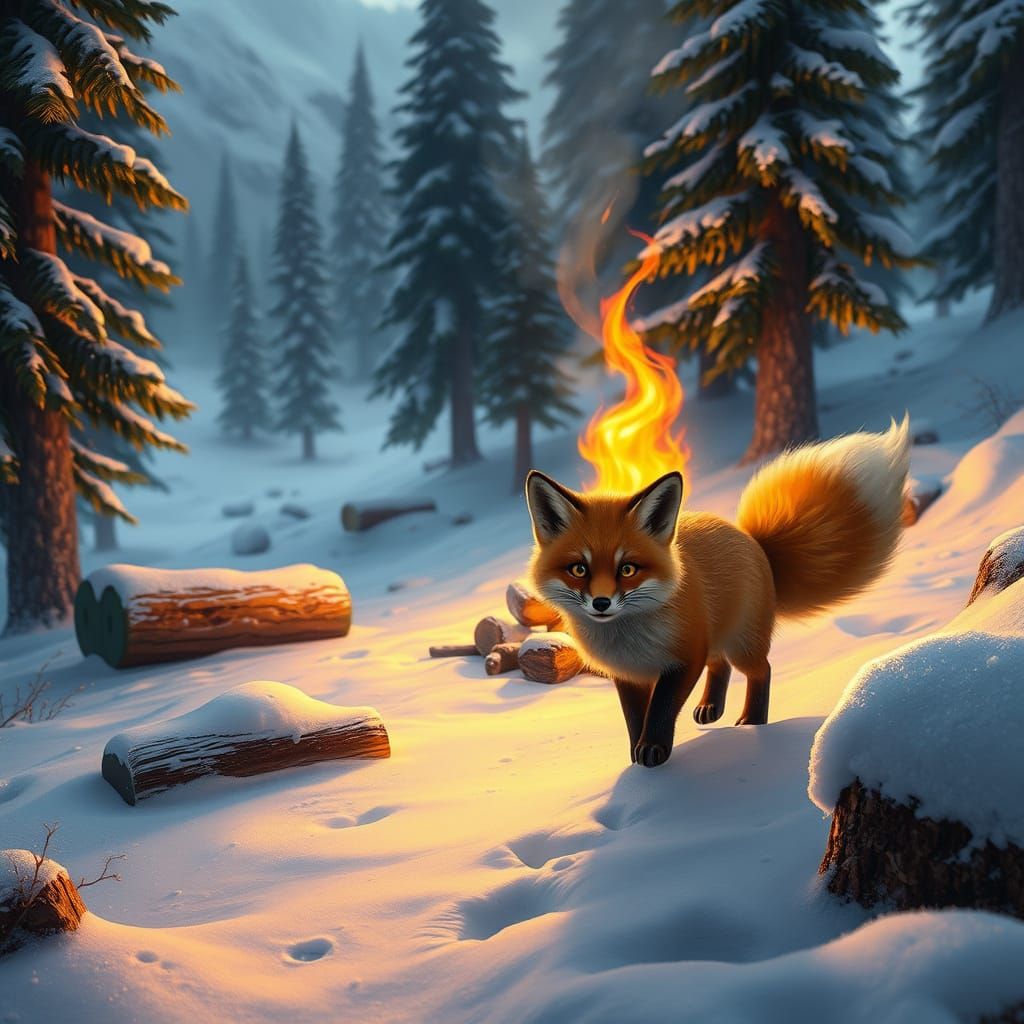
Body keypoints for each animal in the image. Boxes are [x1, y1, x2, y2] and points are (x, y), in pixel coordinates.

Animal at [525, 419, 911, 768]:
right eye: (579, 569)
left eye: (627, 569)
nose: (601, 603)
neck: (630, 641)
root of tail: (753, 540)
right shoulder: (629, 674)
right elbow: (635, 717)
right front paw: (636, 758)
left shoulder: (685, 656)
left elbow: (661, 708)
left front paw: (653, 752)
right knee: (721, 664)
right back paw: (712, 707)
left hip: (742, 644)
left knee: (760, 669)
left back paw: (754, 722)